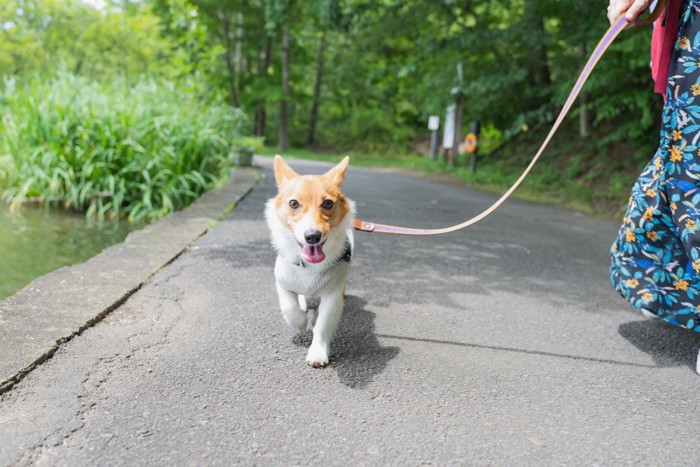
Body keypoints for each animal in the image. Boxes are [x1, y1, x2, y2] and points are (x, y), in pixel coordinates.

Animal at [266, 155, 358, 368]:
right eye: (293, 203)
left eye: (328, 203)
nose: (312, 236)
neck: (309, 266)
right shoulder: (282, 283)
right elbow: (289, 307)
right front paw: (300, 324)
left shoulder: (333, 294)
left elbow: (322, 326)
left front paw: (317, 352)